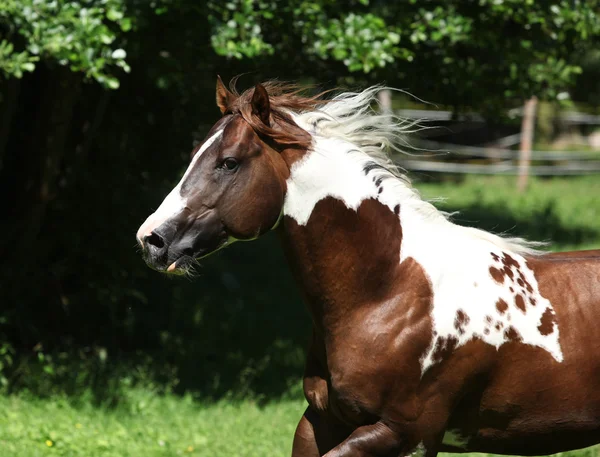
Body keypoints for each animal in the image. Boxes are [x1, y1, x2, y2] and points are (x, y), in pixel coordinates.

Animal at [136, 78, 600, 456]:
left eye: (228, 162)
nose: (151, 239)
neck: (388, 292)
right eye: (195, 155)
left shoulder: (405, 434)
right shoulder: (321, 420)